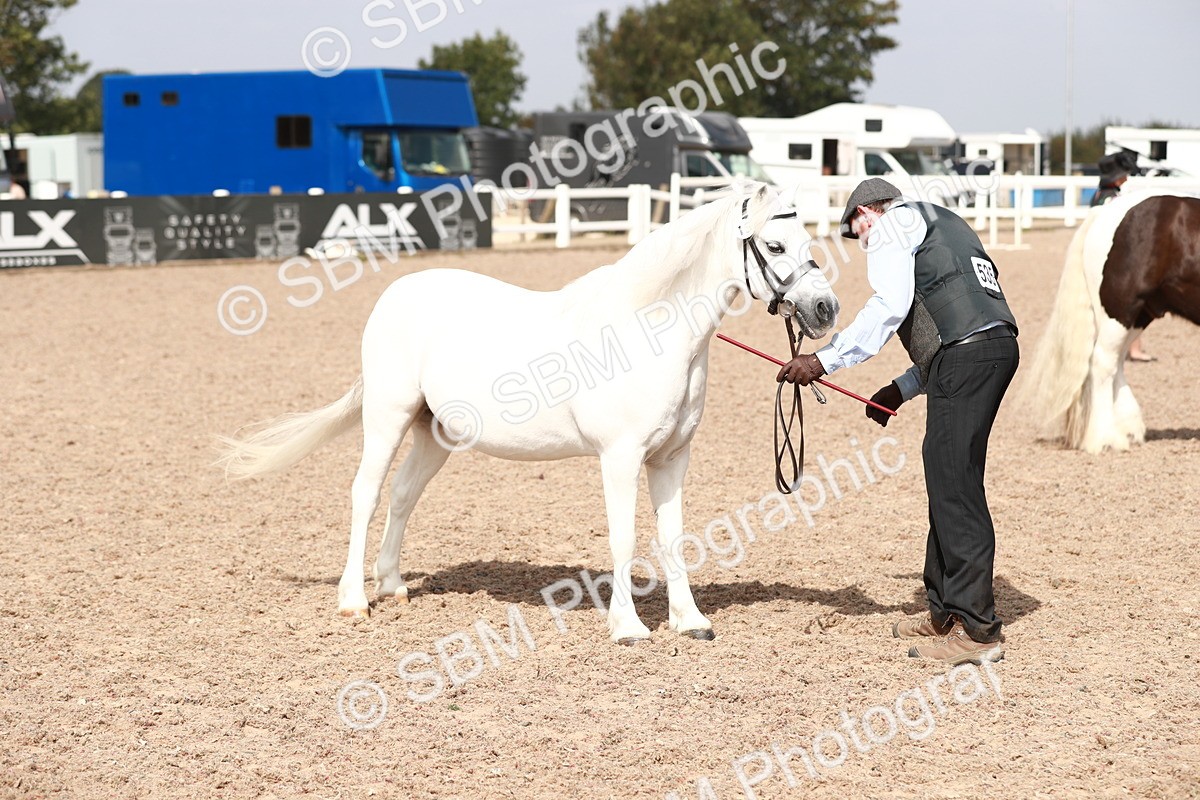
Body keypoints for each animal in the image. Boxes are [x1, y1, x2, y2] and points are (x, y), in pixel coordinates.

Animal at [216, 183, 840, 644]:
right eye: (774, 246)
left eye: (808, 236)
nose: (825, 308)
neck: (647, 329)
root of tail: (396, 294)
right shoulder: (619, 458)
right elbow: (623, 537)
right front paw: (628, 627)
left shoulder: (671, 458)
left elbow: (673, 537)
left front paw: (691, 623)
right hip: (388, 418)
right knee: (366, 494)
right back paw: (354, 601)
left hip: (433, 432)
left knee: (402, 495)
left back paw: (392, 586)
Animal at [1027, 191, 1200, 453]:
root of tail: (1104, 213)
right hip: (1120, 310)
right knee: (1103, 362)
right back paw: (1104, 438)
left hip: (1138, 314)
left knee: (1116, 362)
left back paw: (1125, 427)